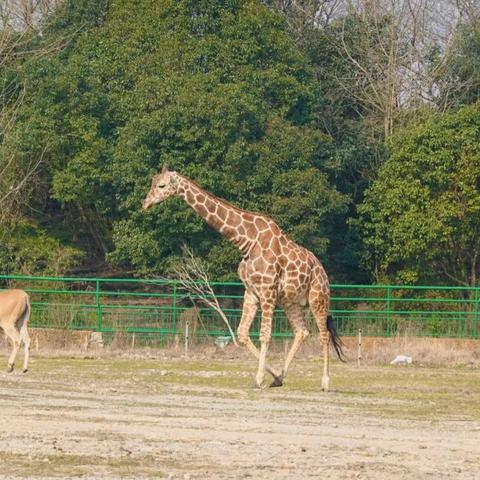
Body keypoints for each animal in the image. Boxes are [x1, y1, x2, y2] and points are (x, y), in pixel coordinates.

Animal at [142, 165, 344, 390]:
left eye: (162, 185)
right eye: (152, 182)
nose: (145, 203)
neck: (246, 241)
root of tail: (323, 271)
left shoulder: (267, 291)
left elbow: (265, 335)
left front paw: (258, 379)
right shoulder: (251, 292)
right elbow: (242, 333)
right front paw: (272, 376)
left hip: (318, 298)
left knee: (324, 335)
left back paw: (325, 382)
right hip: (290, 301)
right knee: (302, 332)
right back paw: (280, 378)